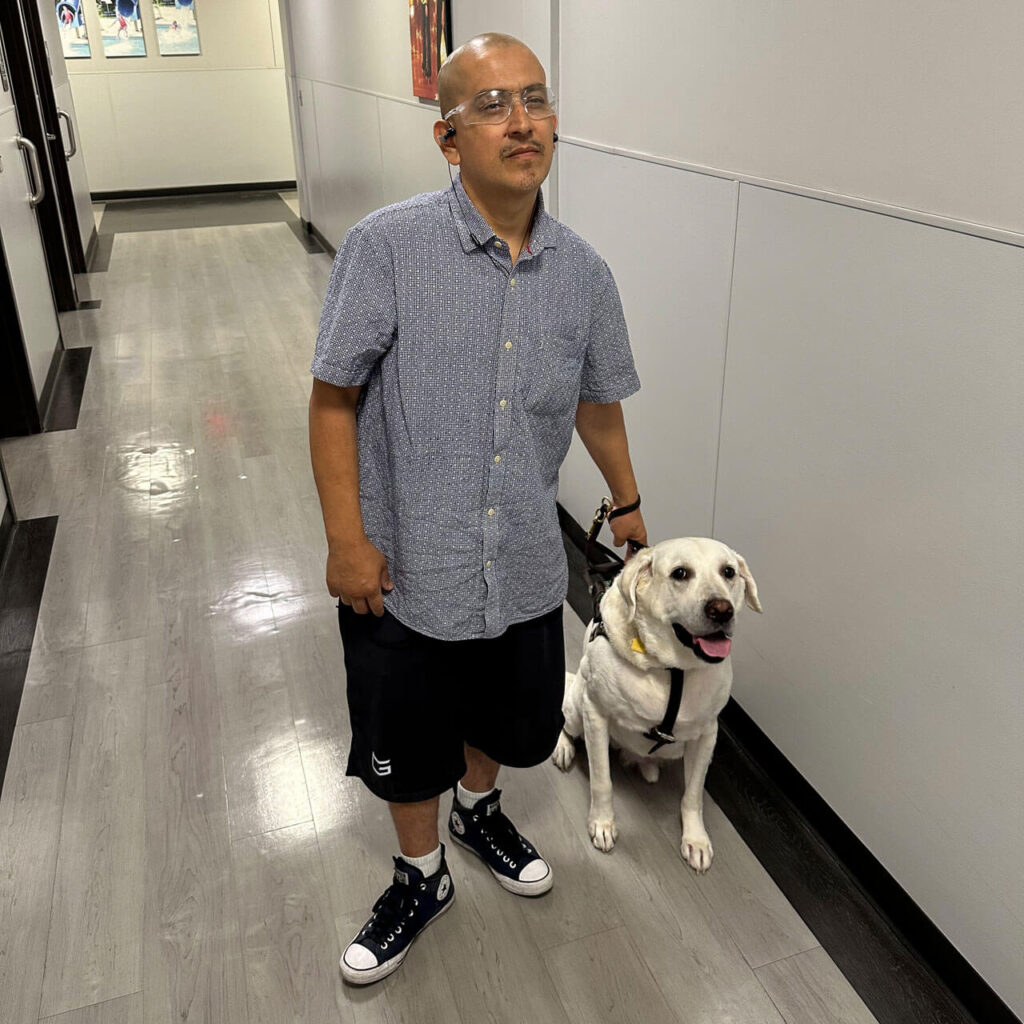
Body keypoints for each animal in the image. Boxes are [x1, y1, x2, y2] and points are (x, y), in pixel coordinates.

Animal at [552, 536, 761, 872]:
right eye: (680, 573)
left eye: (728, 572)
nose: (721, 610)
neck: (674, 670)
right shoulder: (596, 715)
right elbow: (602, 780)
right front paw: (602, 823)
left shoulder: (707, 734)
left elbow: (693, 794)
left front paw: (696, 839)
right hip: (577, 704)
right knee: (565, 723)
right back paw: (563, 747)